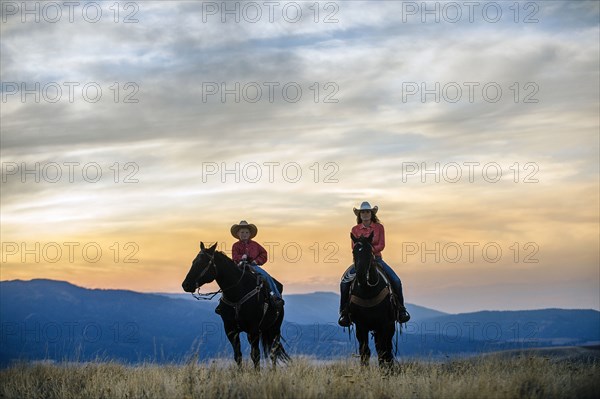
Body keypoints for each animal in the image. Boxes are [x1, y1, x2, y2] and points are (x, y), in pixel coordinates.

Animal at [346, 234, 398, 368]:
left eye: (370, 251)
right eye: (354, 251)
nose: (361, 276)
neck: (367, 291)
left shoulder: (384, 324)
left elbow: (384, 351)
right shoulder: (360, 326)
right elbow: (365, 351)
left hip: (388, 326)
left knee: (386, 349)